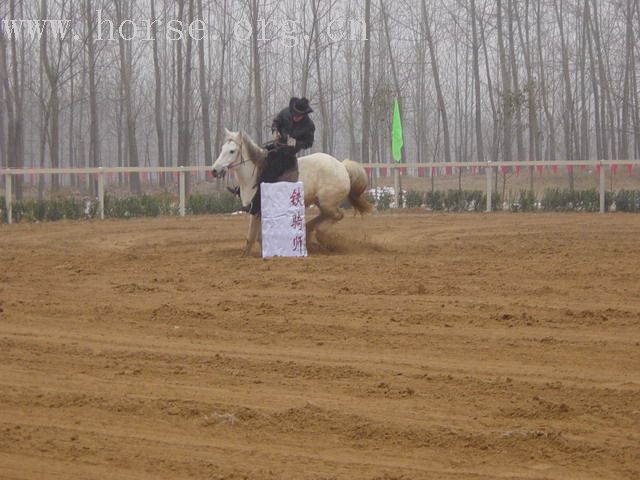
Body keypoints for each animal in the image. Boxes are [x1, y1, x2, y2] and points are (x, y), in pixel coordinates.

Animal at [212, 127, 372, 255]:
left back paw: (319, 234)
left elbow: (251, 237)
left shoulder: (257, 209)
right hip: (321, 203)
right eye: (222, 149)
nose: (214, 170)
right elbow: (256, 237)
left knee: (338, 215)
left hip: (328, 203)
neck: (254, 174)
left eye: (232, 151)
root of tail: (342, 166)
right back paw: (308, 230)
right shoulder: (257, 211)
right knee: (325, 216)